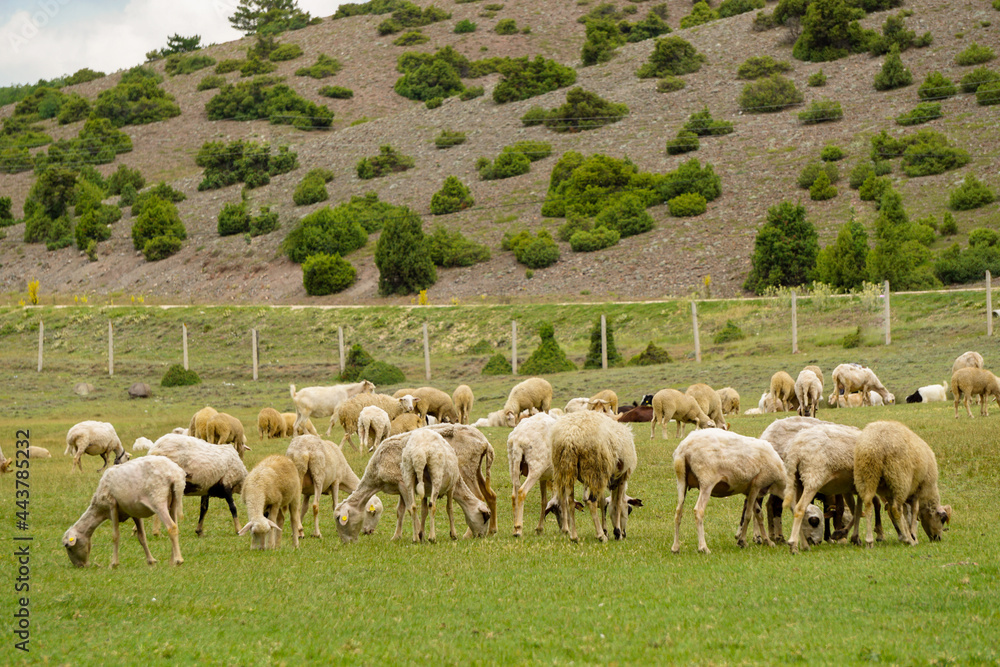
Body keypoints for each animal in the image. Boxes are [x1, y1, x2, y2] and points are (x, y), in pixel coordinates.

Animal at [334, 424, 494, 543]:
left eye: (339, 519)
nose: (367, 532)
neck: (375, 472)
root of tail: (485, 441)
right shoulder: (401, 486)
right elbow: (400, 511)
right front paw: (397, 536)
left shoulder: (402, 483)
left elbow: (410, 509)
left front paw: (418, 534)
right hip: (476, 469)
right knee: (490, 495)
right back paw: (492, 531)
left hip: (467, 469)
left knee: (479, 496)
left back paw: (470, 534)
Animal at [551, 410, 637, 542]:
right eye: (629, 510)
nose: (625, 533)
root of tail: (571, 436)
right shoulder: (622, 477)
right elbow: (617, 503)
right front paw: (617, 532)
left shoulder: (605, 479)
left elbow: (603, 502)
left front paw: (606, 530)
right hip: (594, 469)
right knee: (591, 503)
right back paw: (600, 536)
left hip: (566, 469)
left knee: (569, 502)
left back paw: (574, 536)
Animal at [781, 422, 864, 554]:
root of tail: (795, 450)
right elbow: (859, 510)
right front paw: (851, 536)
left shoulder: (848, 489)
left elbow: (855, 510)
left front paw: (848, 535)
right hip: (813, 478)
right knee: (800, 508)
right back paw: (794, 545)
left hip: (797, 480)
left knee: (795, 508)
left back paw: (804, 545)